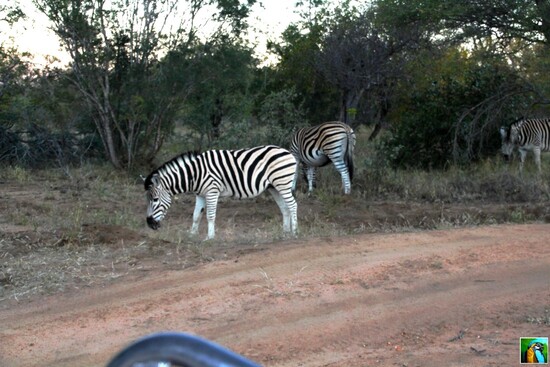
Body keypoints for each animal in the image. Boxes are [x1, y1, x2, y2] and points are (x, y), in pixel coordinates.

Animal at [142, 145, 298, 243]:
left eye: (155, 199)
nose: (149, 224)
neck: (194, 174)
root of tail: (288, 152)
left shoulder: (212, 191)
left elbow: (210, 216)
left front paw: (210, 237)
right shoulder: (200, 195)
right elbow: (196, 215)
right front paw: (192, 235)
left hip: (282, 183)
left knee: (293, 205)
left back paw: (295, 231)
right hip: (274, 187)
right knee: (285, 208)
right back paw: (285, 232)